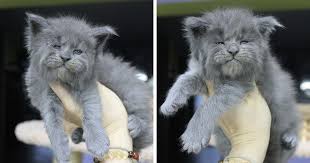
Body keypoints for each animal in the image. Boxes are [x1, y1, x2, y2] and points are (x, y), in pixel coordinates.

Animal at [23, 13, 152, 163]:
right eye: (56, 46)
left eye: (78, 51)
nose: (65, 57)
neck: (64, 81)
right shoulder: (45, 98)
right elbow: (52, 124)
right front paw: (60, 152)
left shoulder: (89, 89)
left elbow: (90, 114)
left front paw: (97, 144)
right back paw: (77, 135)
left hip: (131, 94)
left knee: (145, 123)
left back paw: (136, 124)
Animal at [161, 7, 300, 163]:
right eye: (220, 42)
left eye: (244, 41)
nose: (233, 50)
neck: (226, 75)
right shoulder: (205, 78)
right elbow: (184, 79)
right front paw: (169, 103)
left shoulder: (238, 85)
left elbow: (209, 106)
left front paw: (193, 137)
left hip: (285, 106)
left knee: (294, 121)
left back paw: (290, 138)